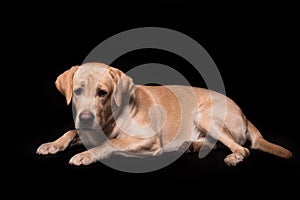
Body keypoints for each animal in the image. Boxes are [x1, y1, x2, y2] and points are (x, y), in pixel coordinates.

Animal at [36, 62, 292, 166]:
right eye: (77, 91)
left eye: (102, 93)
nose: (86, 118)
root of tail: (244, 113)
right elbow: (70, 132)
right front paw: (52, 144)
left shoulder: (148, 139)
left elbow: (111, 144)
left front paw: (86, 155)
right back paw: (190, 146)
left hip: (204, 114)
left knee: (242, 148)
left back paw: (234, 156)